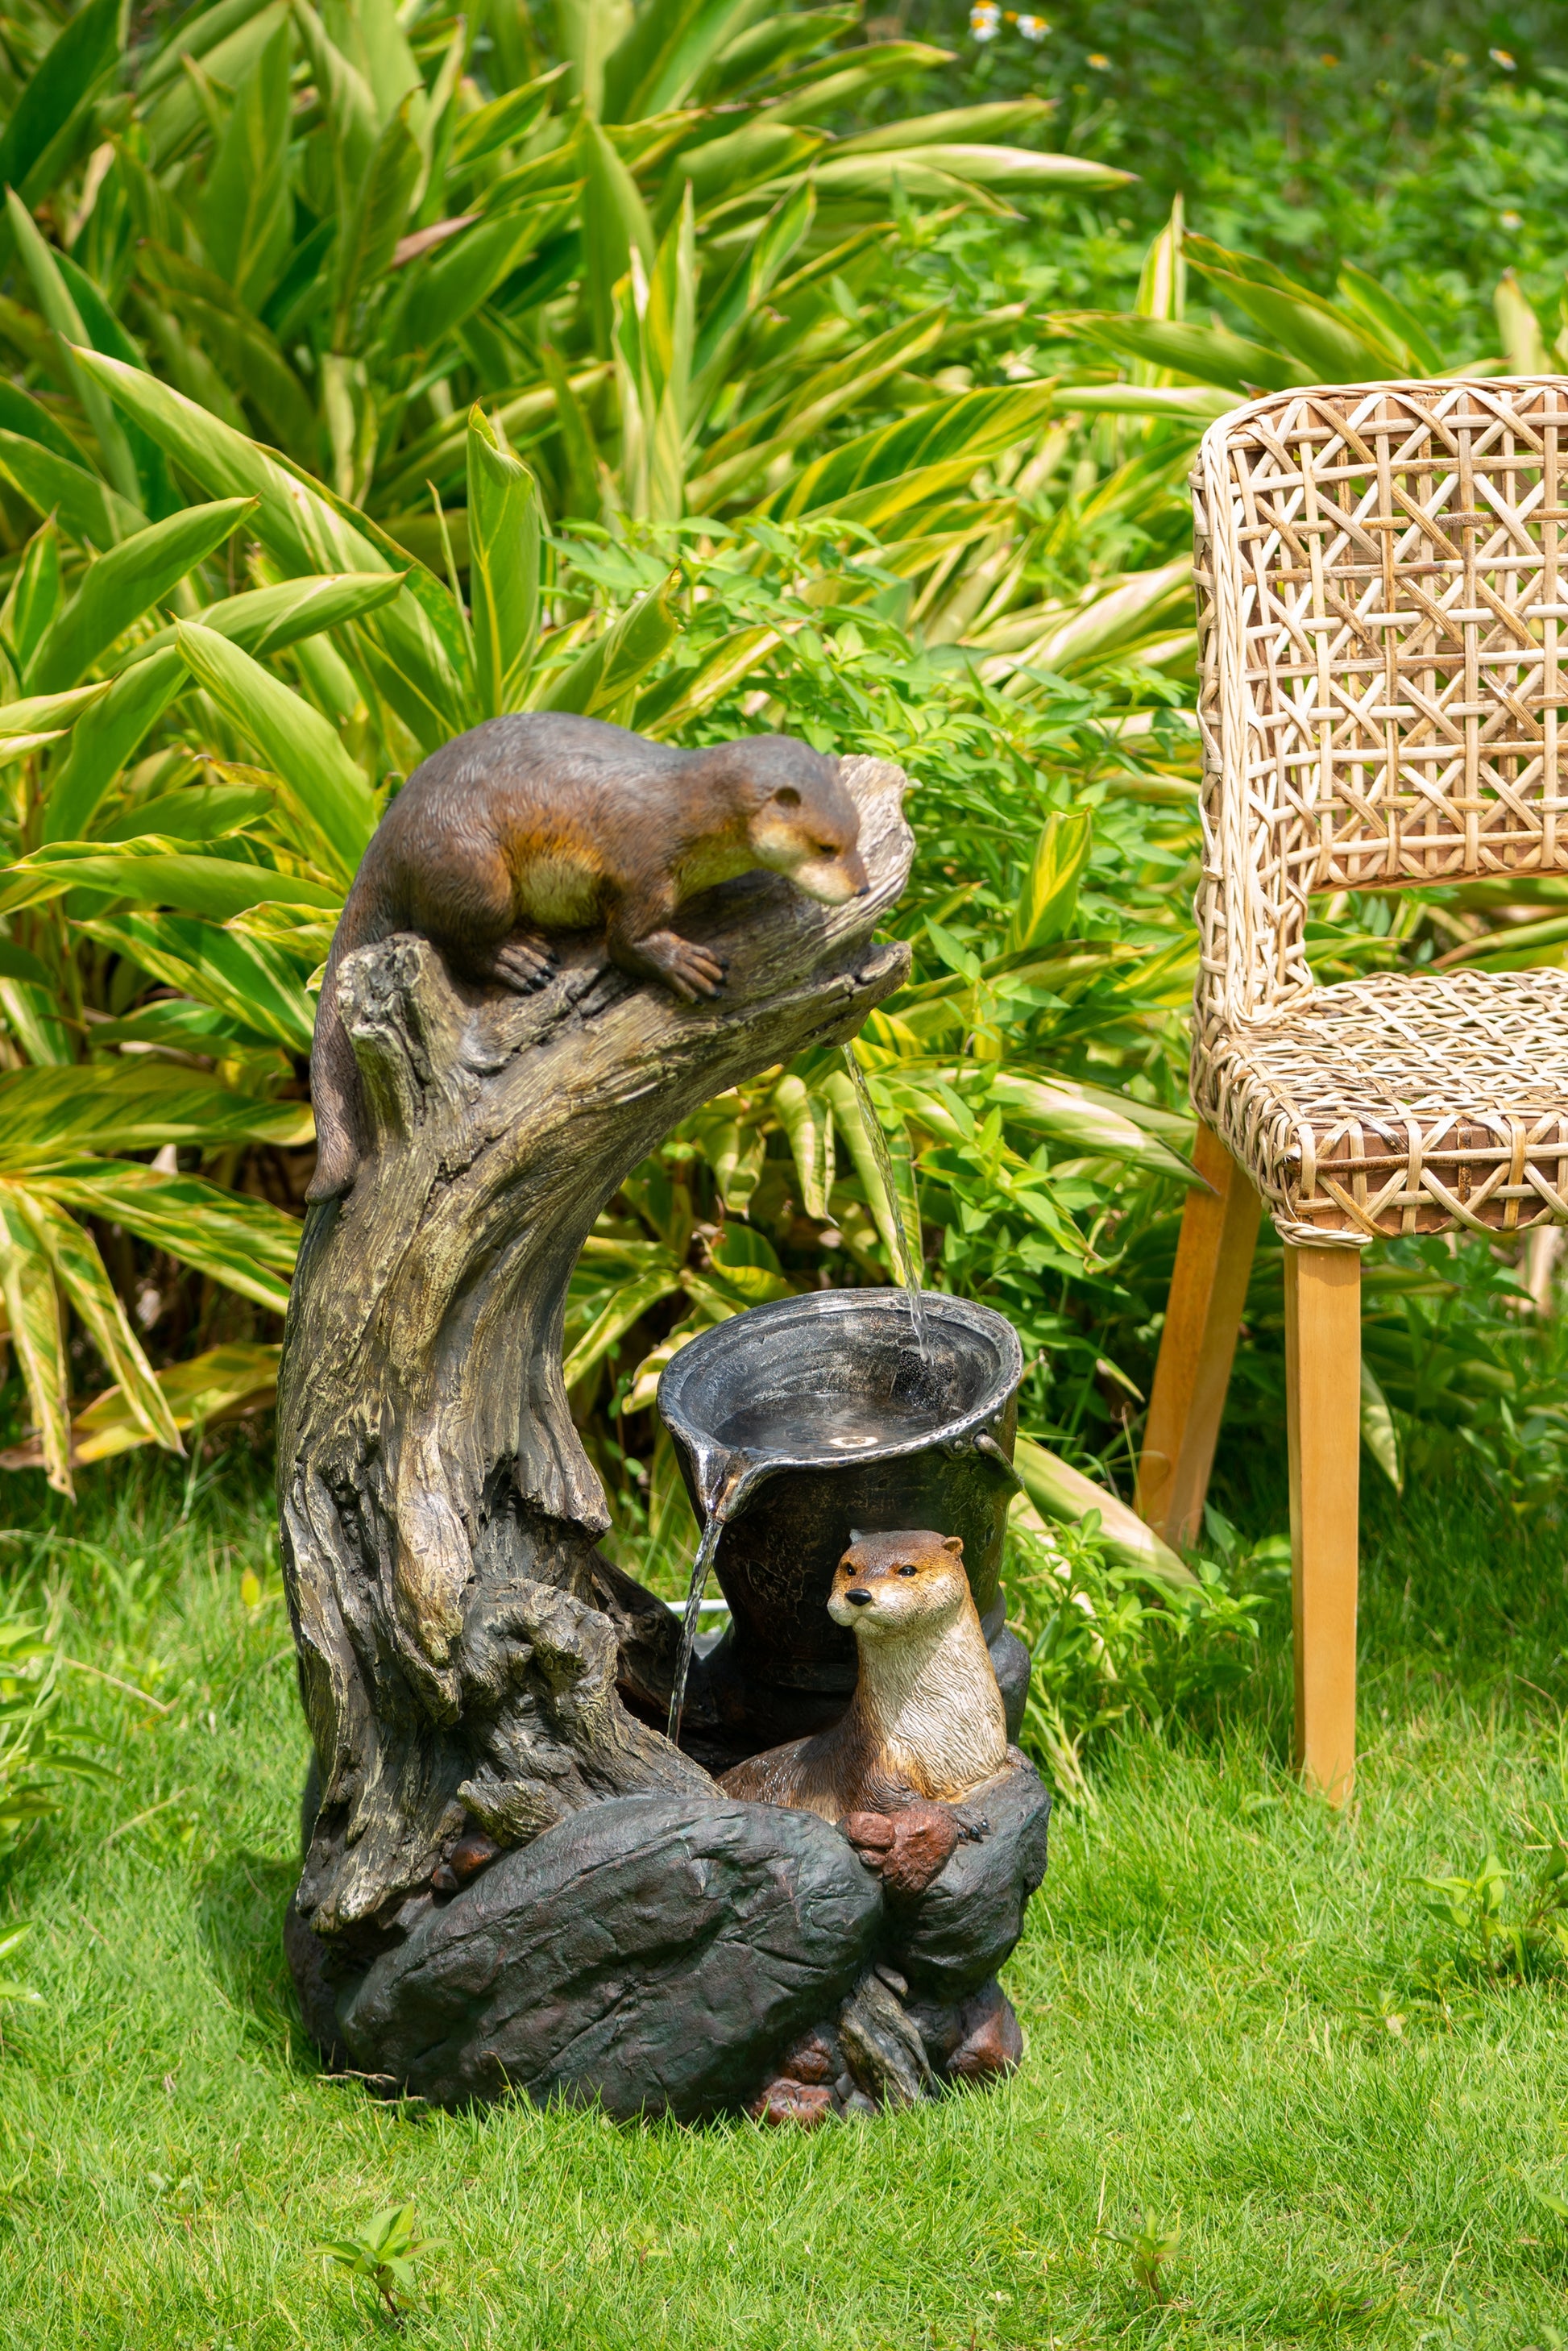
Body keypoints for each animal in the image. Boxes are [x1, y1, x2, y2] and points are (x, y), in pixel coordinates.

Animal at [306, 713, 868, 1202]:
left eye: (856, 835)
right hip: (470, 865)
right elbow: (627, 942)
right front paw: (687, 965)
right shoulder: (644, 869)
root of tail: (390, 826)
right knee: (454, 934)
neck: (688, 814)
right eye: (825, 846)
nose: (861, 887)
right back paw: (519, 958)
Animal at [719, 1530, 1011, 1831]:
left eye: (907, 1570)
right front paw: (961, 1813)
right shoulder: (873, 1767)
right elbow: (891, 1801)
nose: (858, 1594)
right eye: (850, 1569)